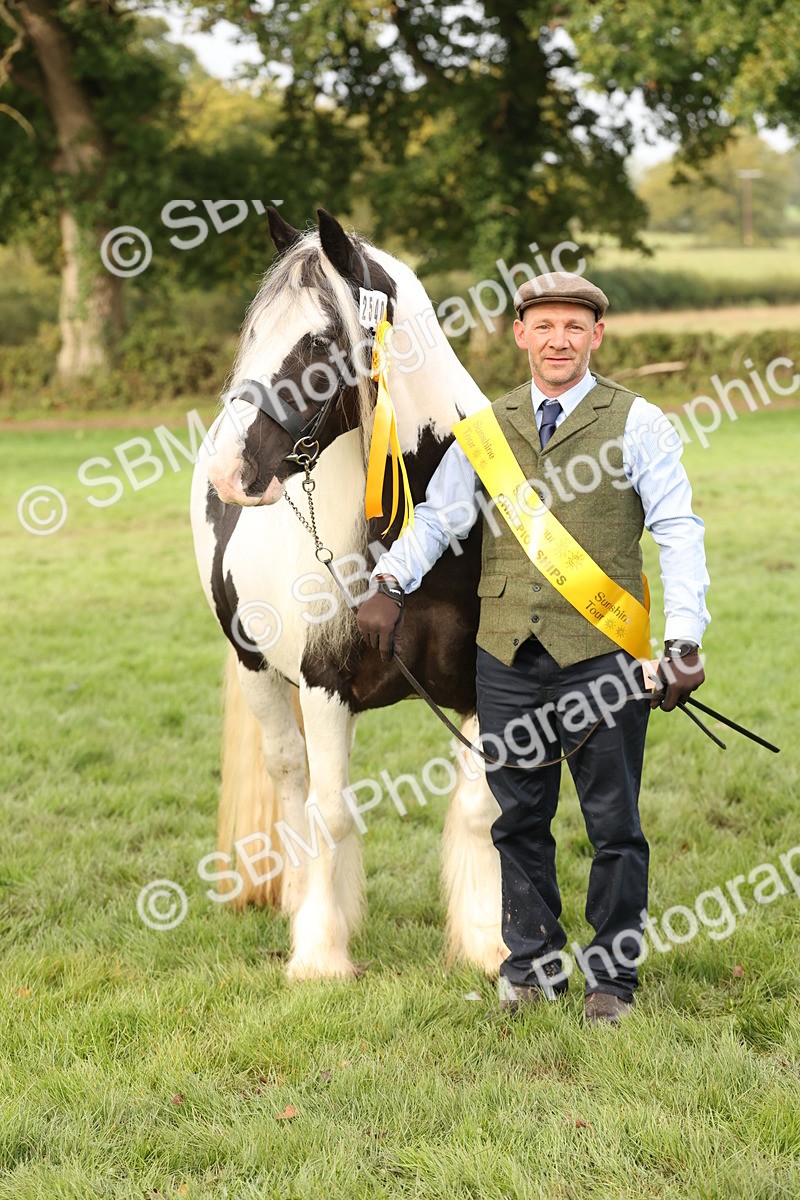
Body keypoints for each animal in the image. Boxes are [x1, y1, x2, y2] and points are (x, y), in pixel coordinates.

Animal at [190, 206, 506, 980]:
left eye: (318, 340)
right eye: (254, 333)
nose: (227, 469)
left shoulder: (480, 686)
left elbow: (481, 809)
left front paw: (488, 943)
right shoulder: (324, 683)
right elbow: (328, 812)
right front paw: (320, 956)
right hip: (260, 674)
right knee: (294, 783)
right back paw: (298, 902)